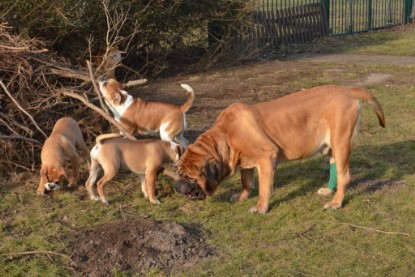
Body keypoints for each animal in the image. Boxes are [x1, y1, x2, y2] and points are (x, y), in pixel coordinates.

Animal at [173, 84, 386, 213]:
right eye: (179, 172)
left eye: (189, 177)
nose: (176, 186)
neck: (225, 136)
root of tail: (348, 90)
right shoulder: (246, 162)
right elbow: (246, 182)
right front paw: (241, 197)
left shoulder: (266, 158)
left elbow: (263, 188)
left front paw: (260, 207)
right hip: (331, 147)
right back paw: (328, 191)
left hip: (341, 143)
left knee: (345, 176)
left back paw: (335, 203)